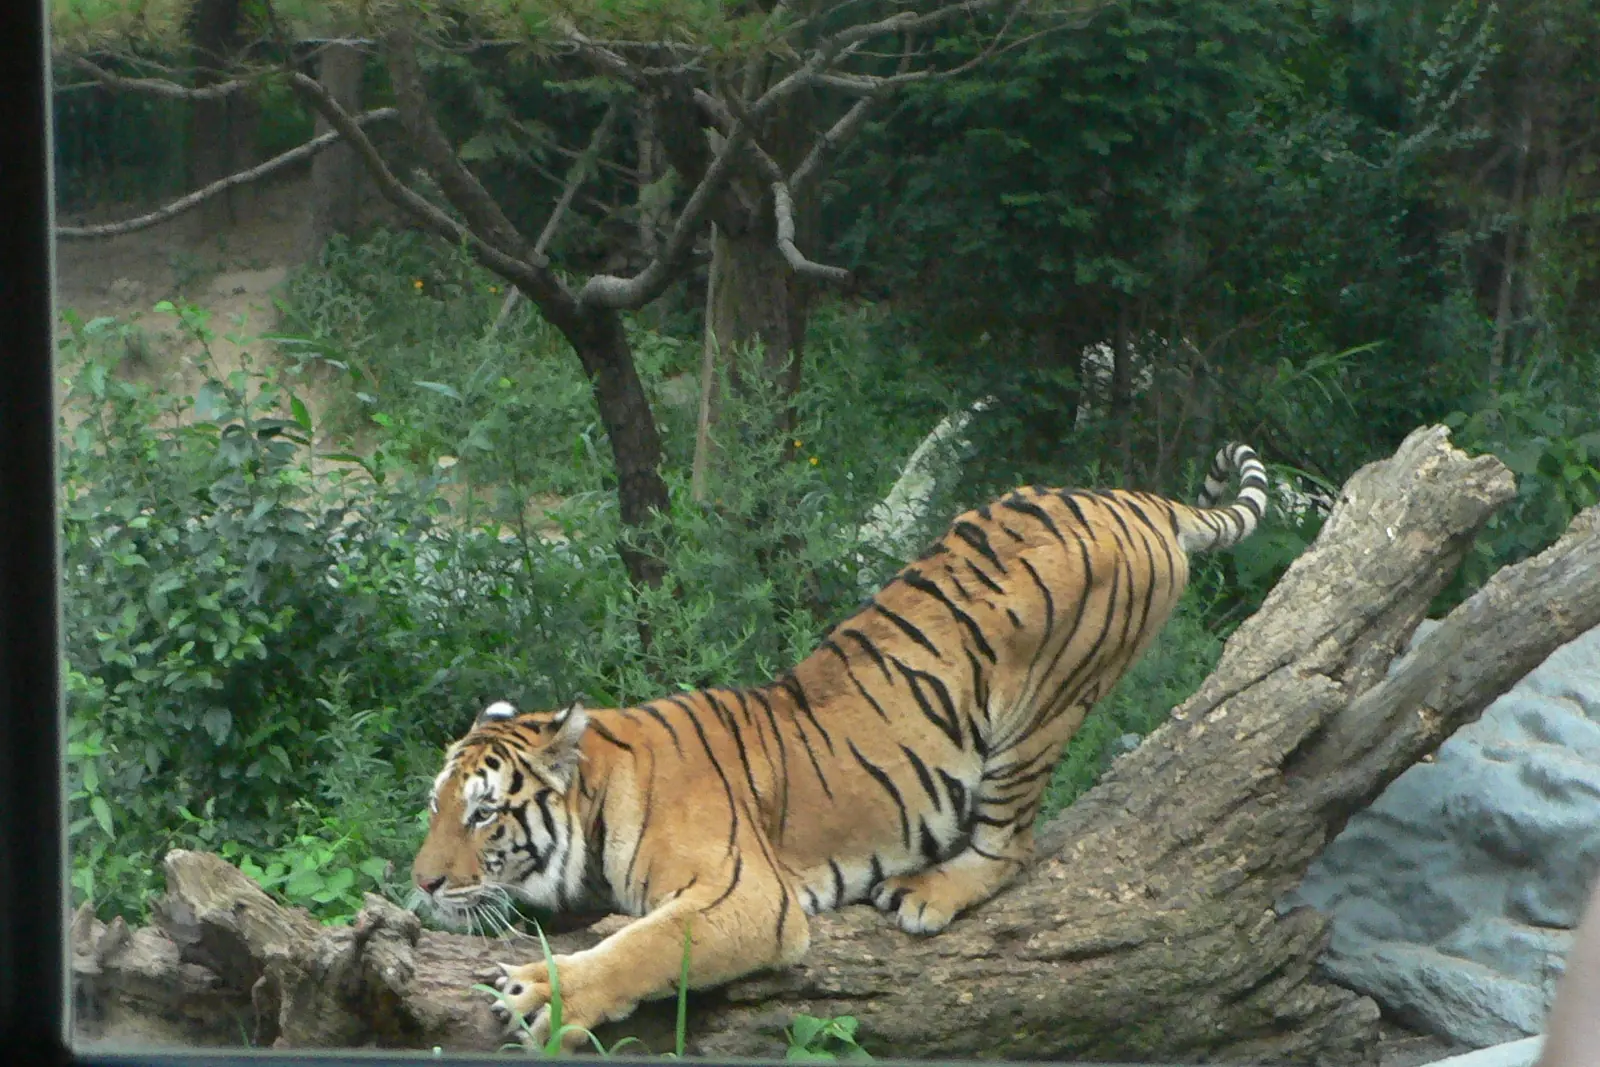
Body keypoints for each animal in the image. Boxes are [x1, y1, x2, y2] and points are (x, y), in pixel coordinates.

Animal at [411, 442, 1268, 1049]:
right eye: (435, 806)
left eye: (484, 814)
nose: (419, 883)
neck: (598, 803)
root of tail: (1126, 494)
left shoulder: (747, 897)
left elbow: (648, 948)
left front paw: (541, 996)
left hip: (1042, 709)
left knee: (1009, 845)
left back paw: (927, 891)